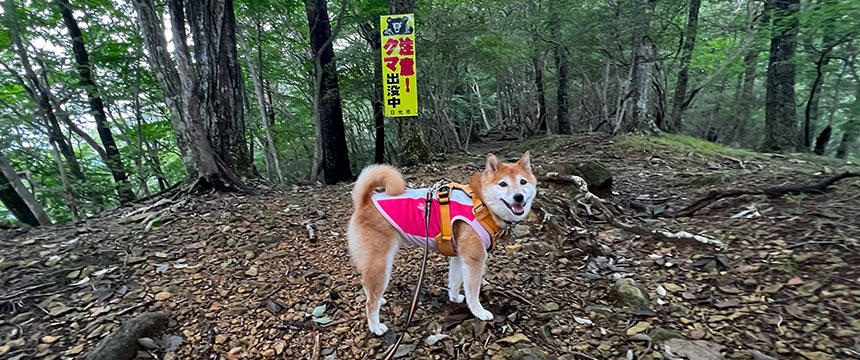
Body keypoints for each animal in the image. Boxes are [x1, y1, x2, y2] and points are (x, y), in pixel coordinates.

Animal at [350, 151, 536, 334]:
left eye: (523, 181)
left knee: (367, 285)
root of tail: (364, 201)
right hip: (381, 263)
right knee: (369, 303)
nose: (518, 197)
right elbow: (472, 292)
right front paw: (479, 312)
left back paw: (379, 300)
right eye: (503, 184)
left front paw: (454, 298)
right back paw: (376, 327)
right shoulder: (474, 259)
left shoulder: (458, 256)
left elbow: (454, 282)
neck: (481, 205)